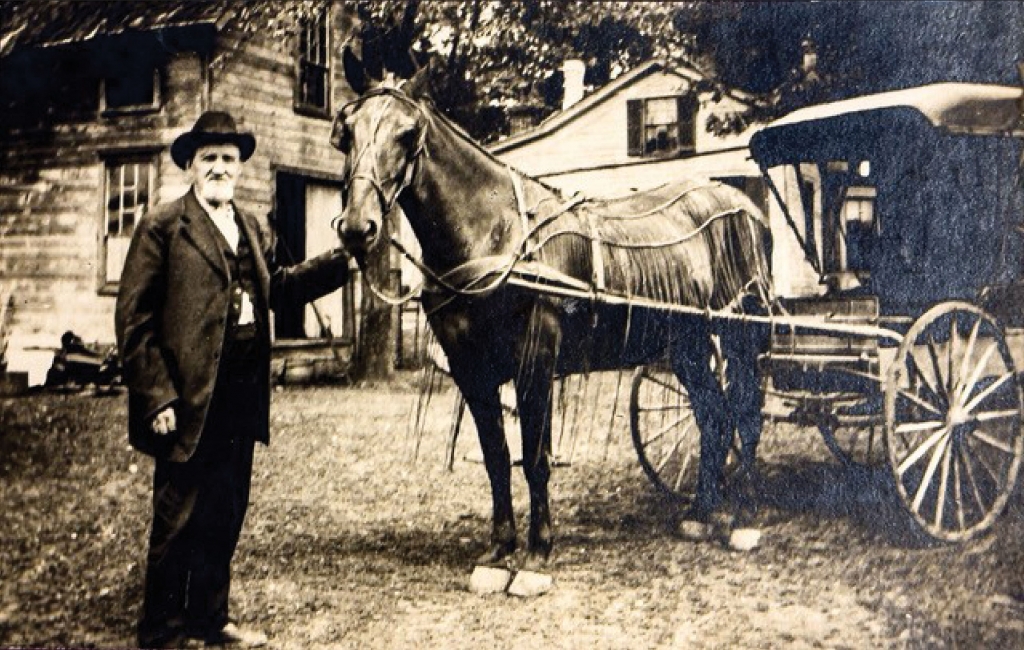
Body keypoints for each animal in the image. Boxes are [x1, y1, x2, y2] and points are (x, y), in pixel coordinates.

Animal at [331, 50, 770, 569]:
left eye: (407, 132)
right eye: (346, 130)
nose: (357, 227)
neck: (493, 235)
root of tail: (743, 204)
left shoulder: (535, 360)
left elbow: (535, 458)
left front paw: (538, 549)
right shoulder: (471, 370)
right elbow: (497, 458)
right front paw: (501, 545)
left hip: (739, 333)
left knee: (745, 413)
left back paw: (743, 517)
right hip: (686, 343)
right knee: (712, 414)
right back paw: (702, 513)